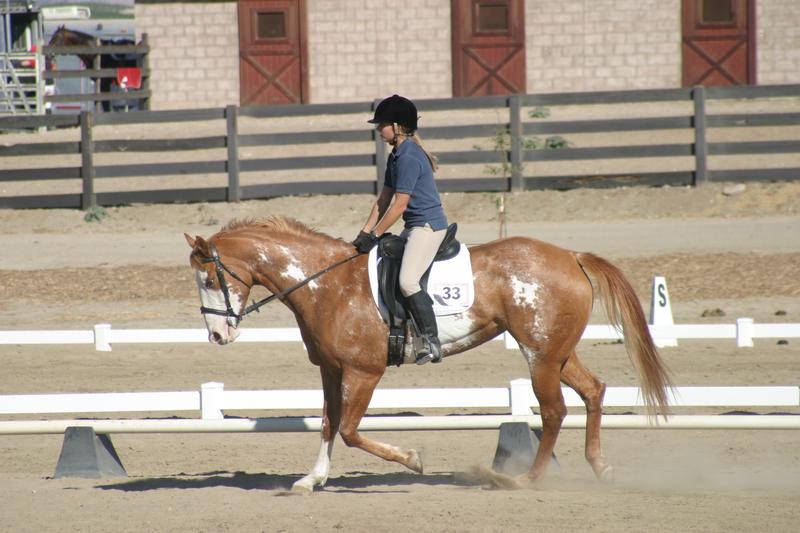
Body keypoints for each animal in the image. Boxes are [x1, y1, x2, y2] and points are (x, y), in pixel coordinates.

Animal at [184, 217, 672, 492]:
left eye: (208, 279)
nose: (217, 335)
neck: (326, 284)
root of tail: (571, 256)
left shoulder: (364, 372)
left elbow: (350, 430)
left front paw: (413, 460)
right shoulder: (332, 370)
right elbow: (327, 424)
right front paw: (312, 478)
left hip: (541, 357)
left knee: (553, 412)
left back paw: (522, 479)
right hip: (556, 353)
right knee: (593, 391)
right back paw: (600, 468)